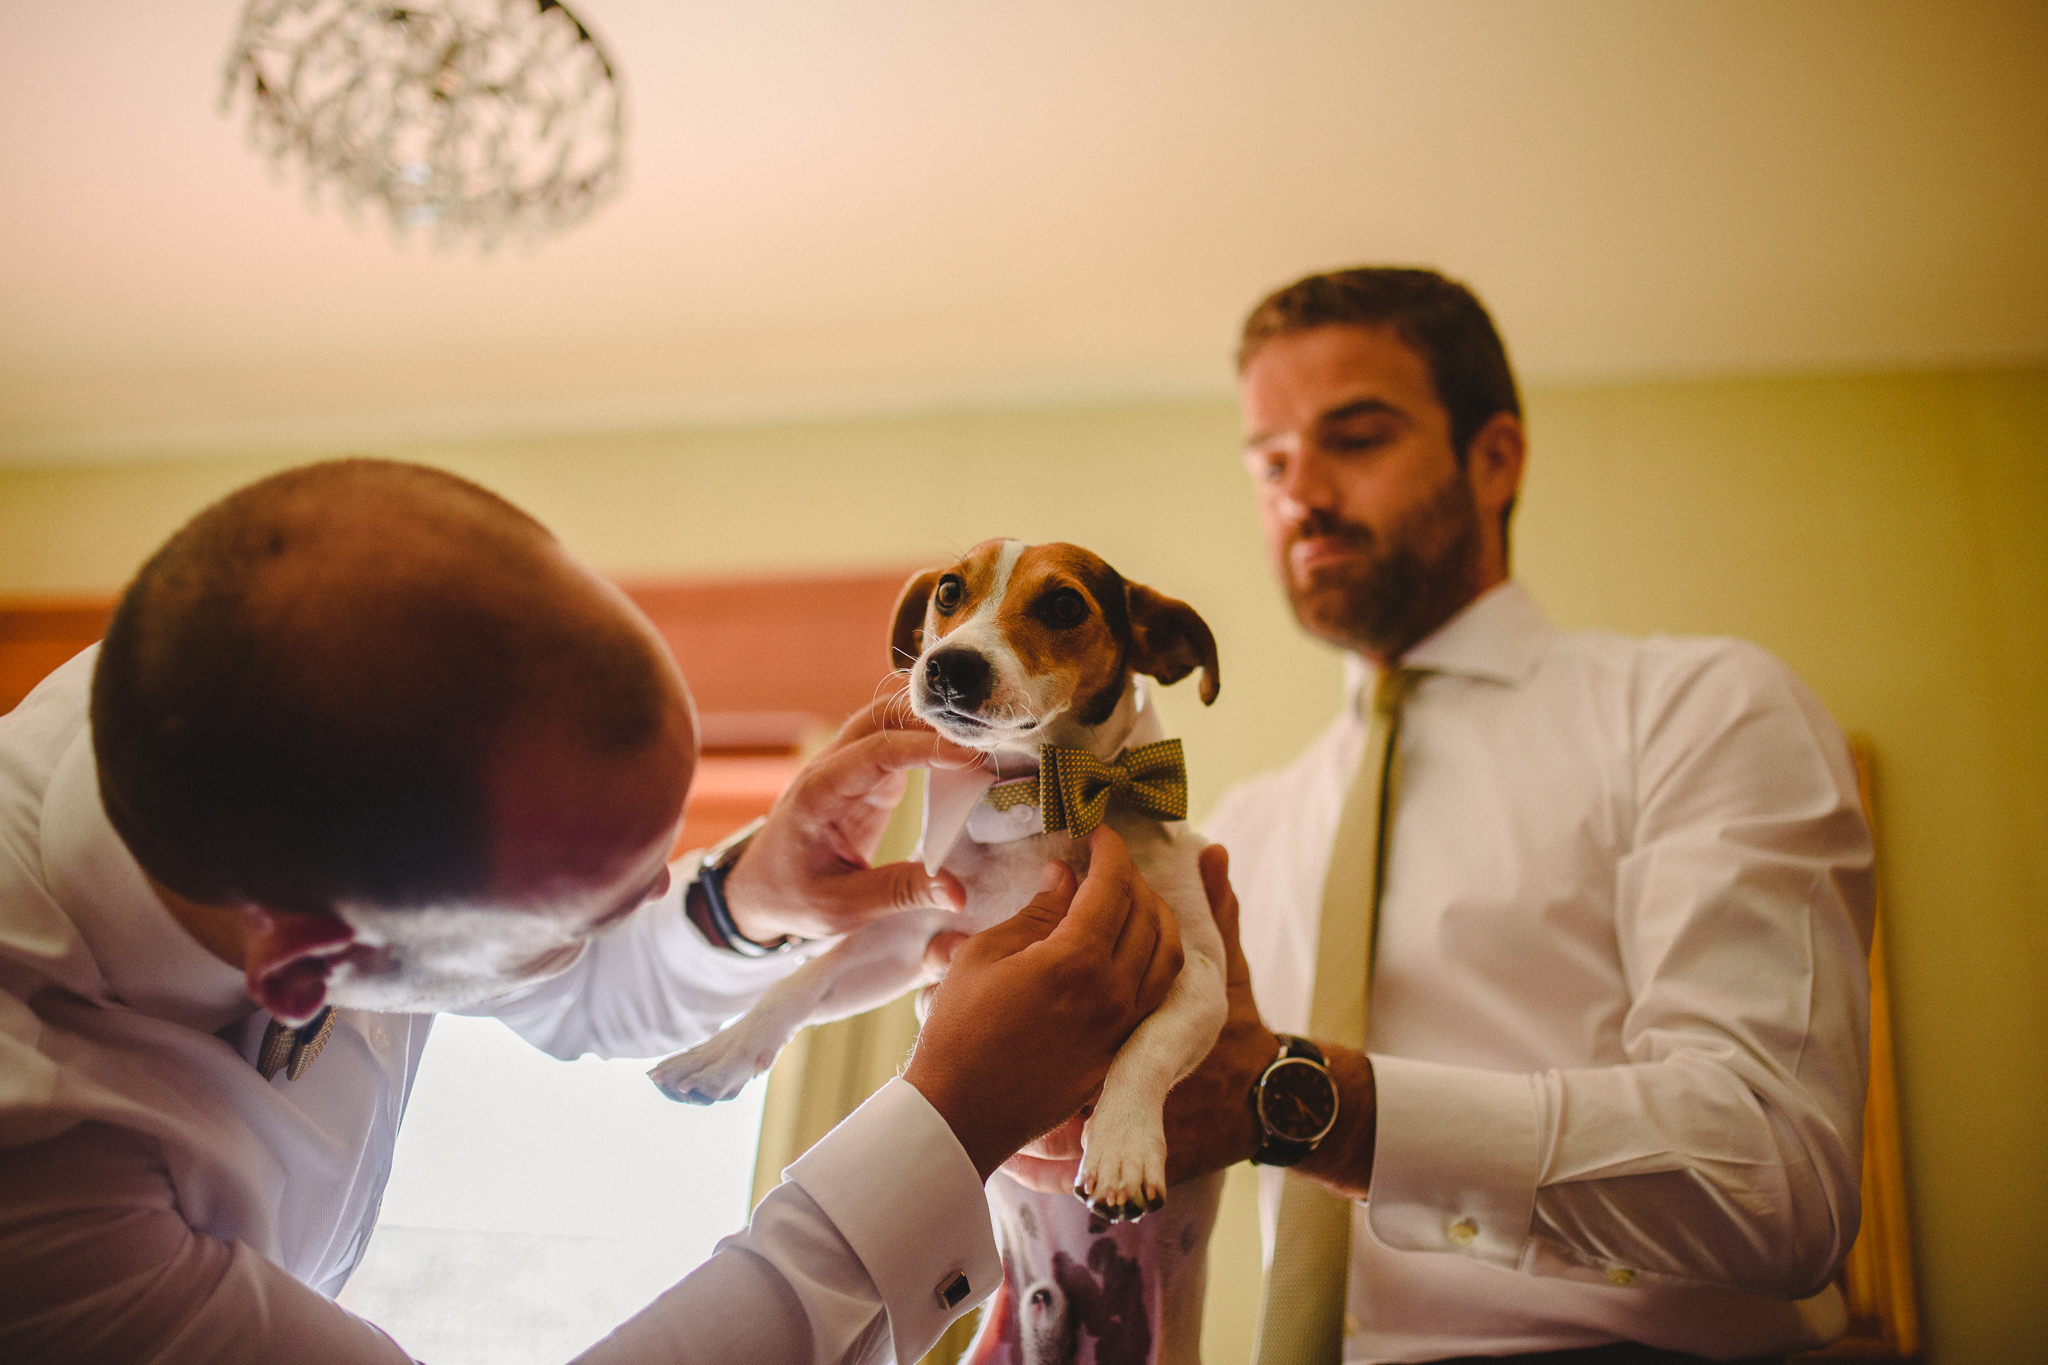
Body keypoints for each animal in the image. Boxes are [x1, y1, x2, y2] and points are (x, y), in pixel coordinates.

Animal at [655, 548, 1220, 1358]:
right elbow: (800, 983)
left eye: (1064, 606)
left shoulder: (1201, 973)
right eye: (950, 591)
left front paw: (1121, 1147)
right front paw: (717, 1055)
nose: (948, 666)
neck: (1037, 803)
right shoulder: (911, 940)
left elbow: (1150, 1044)